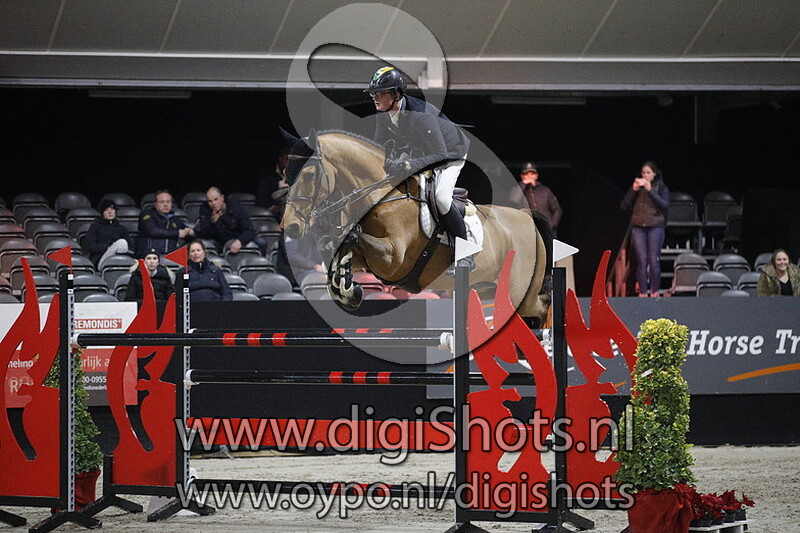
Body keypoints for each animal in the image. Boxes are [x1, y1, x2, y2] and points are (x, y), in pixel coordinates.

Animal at [280, 129, 551, 326]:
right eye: (286, 173)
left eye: (308, 175)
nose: (290, 227)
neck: (381, 194)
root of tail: (526, 217)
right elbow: (333, 245)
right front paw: (346, 290)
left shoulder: (393, 259)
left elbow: (353, 239)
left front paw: (347, 288)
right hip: (486, 289)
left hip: (519, 293)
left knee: (542, 306)